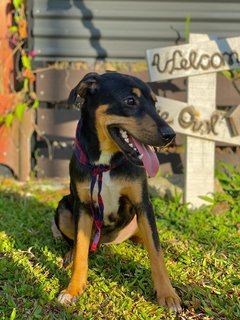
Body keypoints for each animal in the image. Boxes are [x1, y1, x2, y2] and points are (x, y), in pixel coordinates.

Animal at [54, 71, 182, 312]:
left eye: (154, 103)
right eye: (130, 101)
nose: (170, 135)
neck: (105, 162)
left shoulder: (143, 205)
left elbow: (156, 253)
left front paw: (168, 295)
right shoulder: (83, 206)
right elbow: (81, 251)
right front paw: (73, 289)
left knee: (150, 240)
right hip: (64, 207)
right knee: (76, 242)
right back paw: (70, 253)